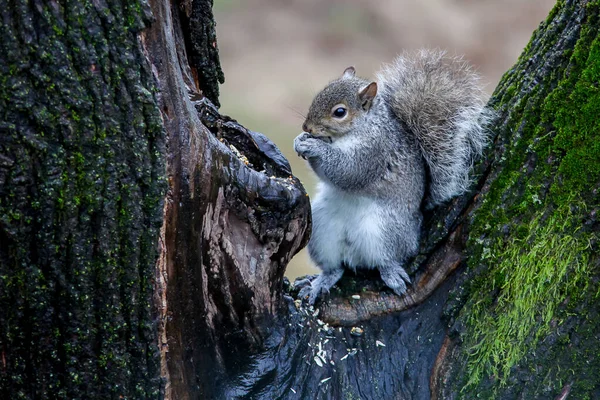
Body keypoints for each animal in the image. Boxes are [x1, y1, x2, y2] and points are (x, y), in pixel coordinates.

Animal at [292, 50, 490, 306]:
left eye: (340, 112)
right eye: (319, 94)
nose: (307, 127)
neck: (360, 129)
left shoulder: (375, 152)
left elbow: (347, 172)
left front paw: (314, 146)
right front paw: (300, 140)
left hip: (385, 231)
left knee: (387, 259)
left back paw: (392, 273)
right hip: (321, 230)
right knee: (335, 268)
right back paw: (321, 282)